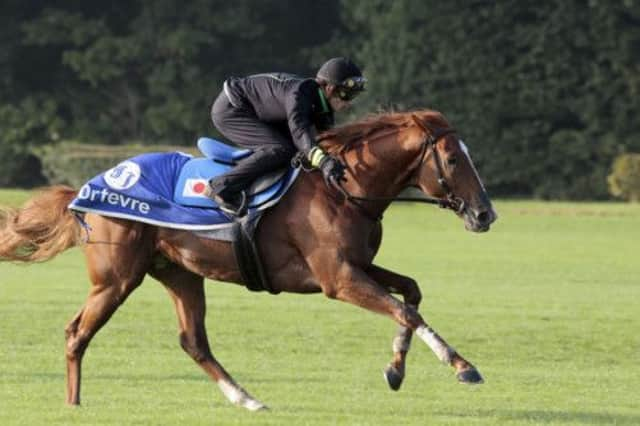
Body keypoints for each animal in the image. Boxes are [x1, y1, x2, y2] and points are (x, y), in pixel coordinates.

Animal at [0, 109, 498, 410]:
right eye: (454, 159)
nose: (485, 214)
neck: (344, 187)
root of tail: (87, 187)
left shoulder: (355, 267)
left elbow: (411, 293)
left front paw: (395, 368)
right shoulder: (337, 278)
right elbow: (405, 309)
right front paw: (462, 366)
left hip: (180, 274)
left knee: (193, 342)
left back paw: (245, 398)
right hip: (116, 279)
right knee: (76, 332)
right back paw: (73, 404)